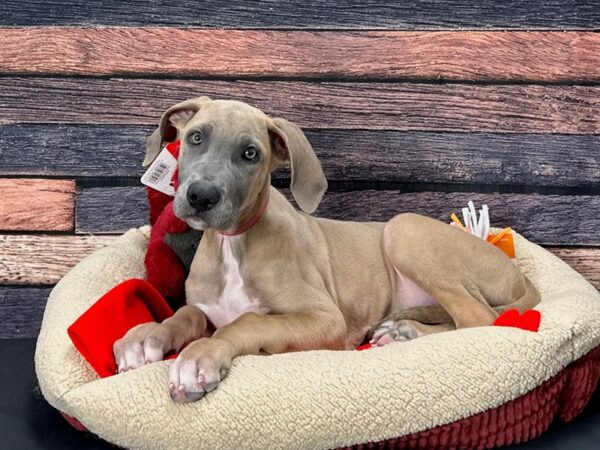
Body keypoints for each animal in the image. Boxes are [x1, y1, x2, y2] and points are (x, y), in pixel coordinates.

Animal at [112, 96, 540, 402]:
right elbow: (183, 315)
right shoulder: (205, 308)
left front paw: (200, 357)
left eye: (251, 153)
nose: (200, 196)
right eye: (196, 137)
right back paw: (402, 330)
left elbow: (247, 322)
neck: (233, 245)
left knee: (480, 319)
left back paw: (405, 332)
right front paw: (147, 336)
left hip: (403, 229)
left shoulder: (324, 318)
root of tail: (519, 274)